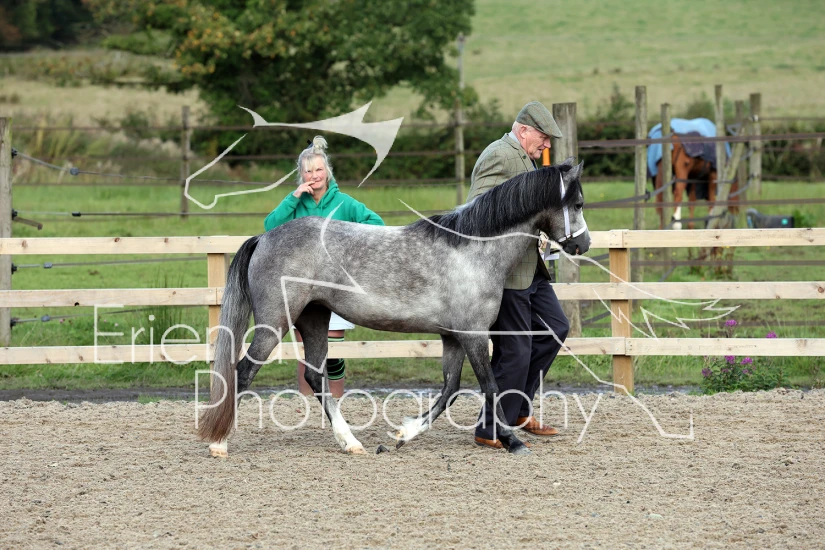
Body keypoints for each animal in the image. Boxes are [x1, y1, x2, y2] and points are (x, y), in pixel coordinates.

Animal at [197, 159, 590, 457]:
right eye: (578, 204)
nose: (583, 245)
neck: (473, 250)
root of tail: (264, 237)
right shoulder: (474, 334)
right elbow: (490, 386)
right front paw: (512, 440)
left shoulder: (453, 337)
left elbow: (450, 389)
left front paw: (403, 435)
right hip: (274, 323)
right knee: (243, 371)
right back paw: (220, 443)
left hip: (314, 319)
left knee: (315, 377)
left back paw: (351, 442)